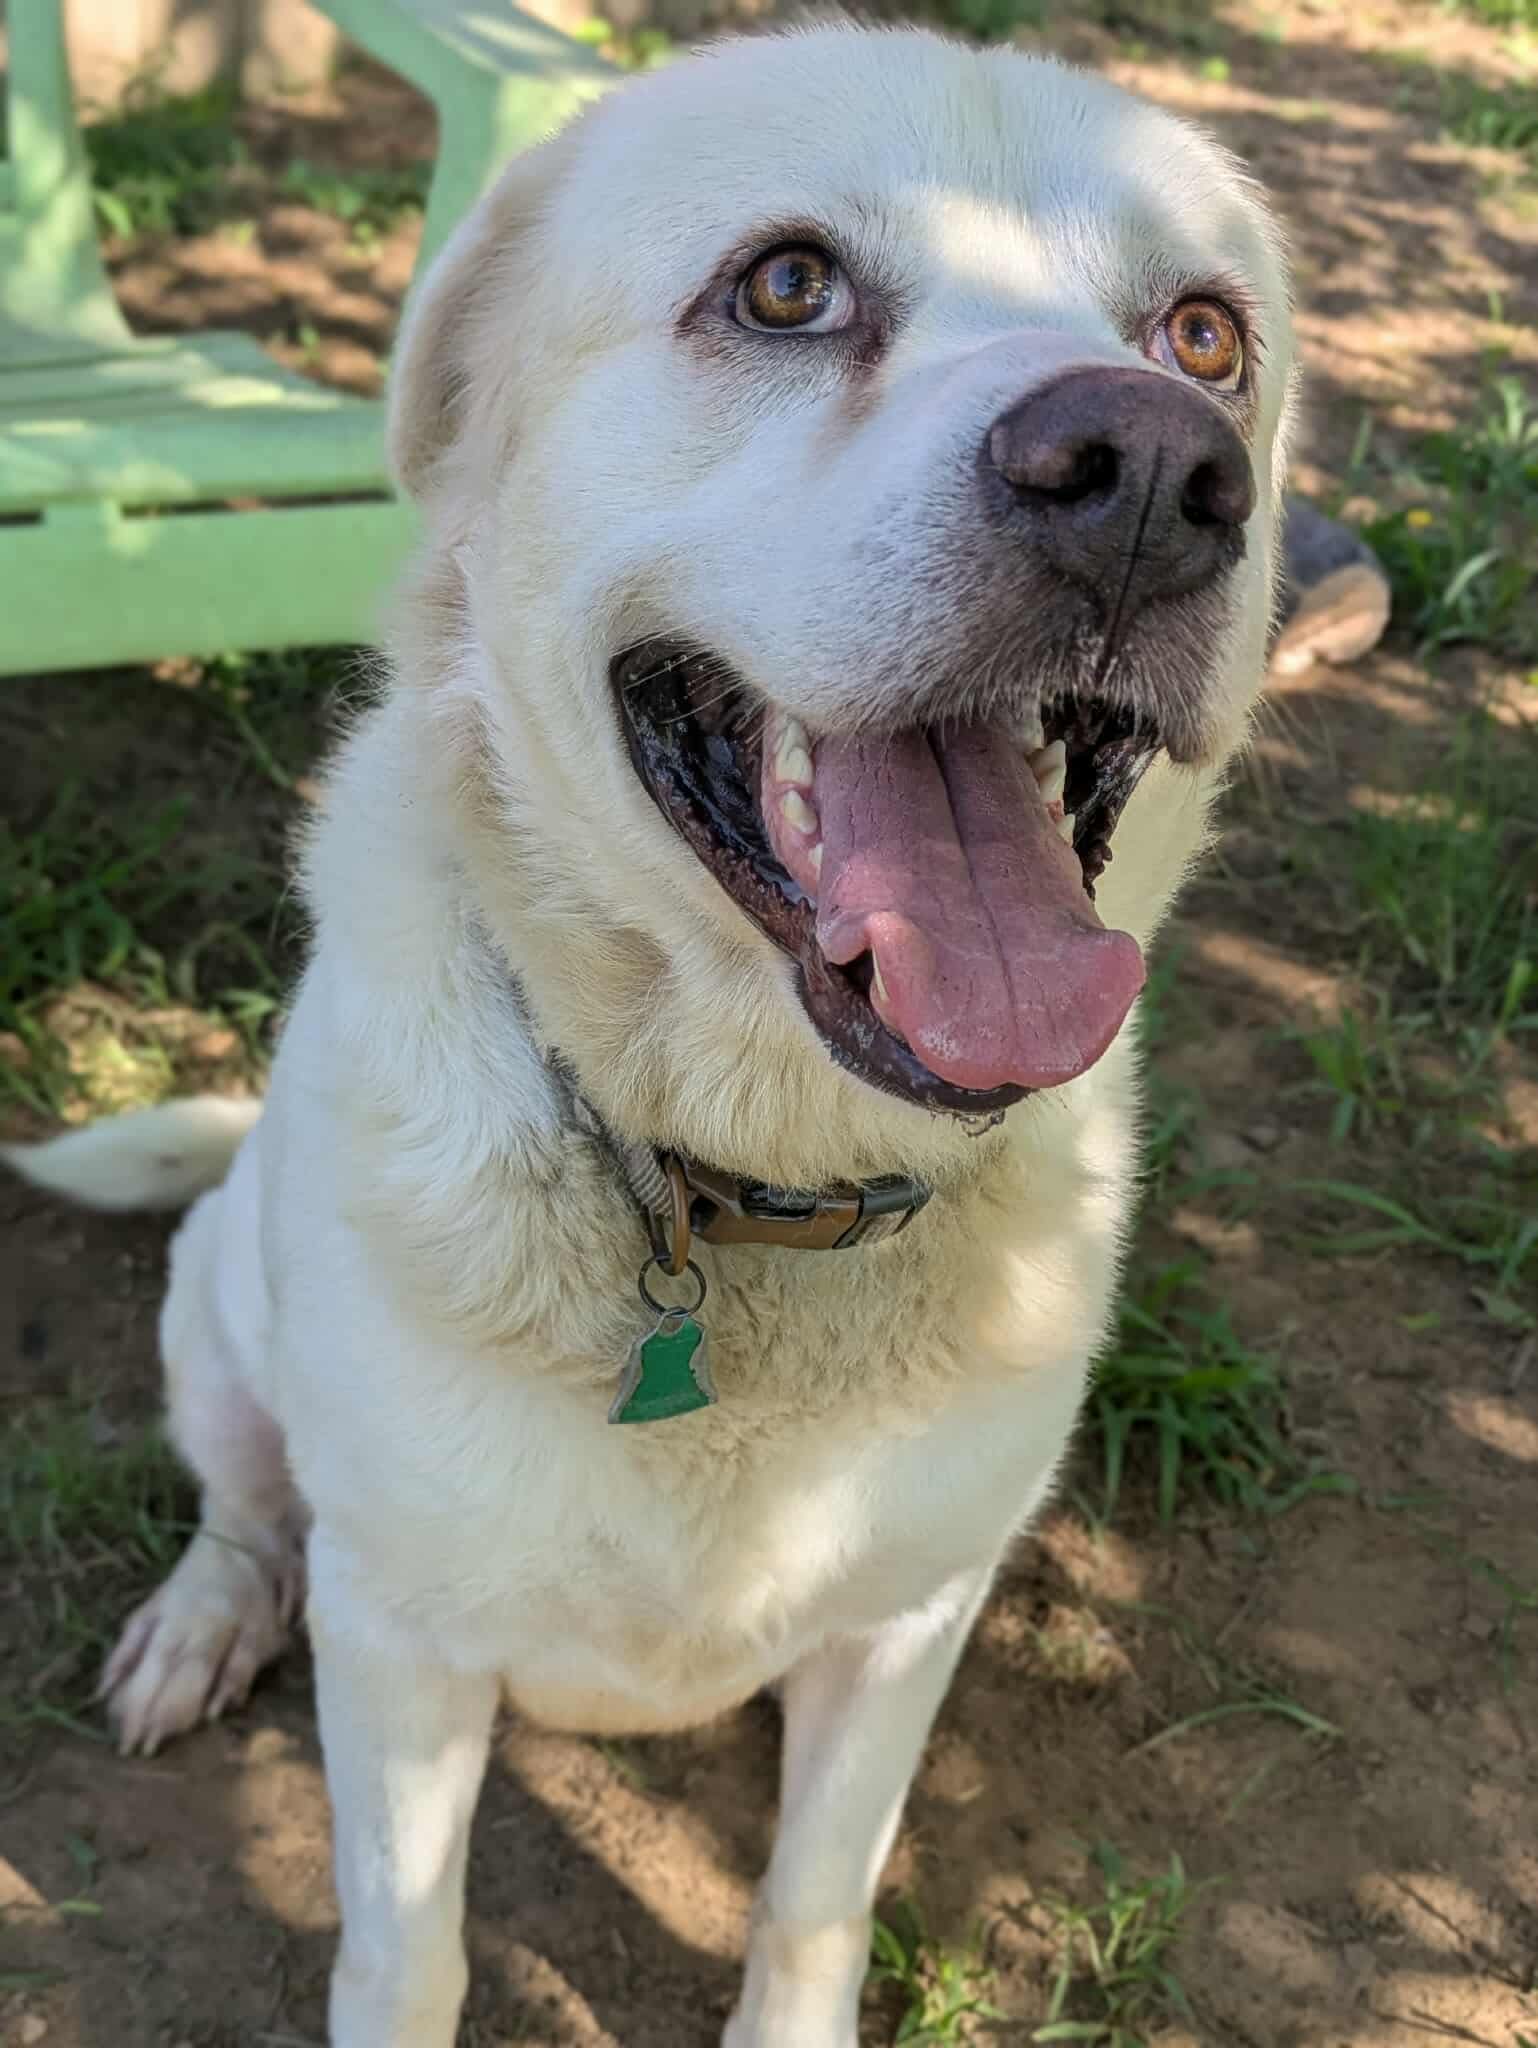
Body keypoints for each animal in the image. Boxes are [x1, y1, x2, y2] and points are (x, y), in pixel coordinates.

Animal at [5, 24, 1295, 2045]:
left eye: (1204, 335)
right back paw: (202, 1621)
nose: (1158, 474)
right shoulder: (400, 1640)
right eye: (784, 286)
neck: (740, 1191)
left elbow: (811, 1903)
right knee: (245, 1503)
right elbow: (406, 1945)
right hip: (214, 1315)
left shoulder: (904, 1626)